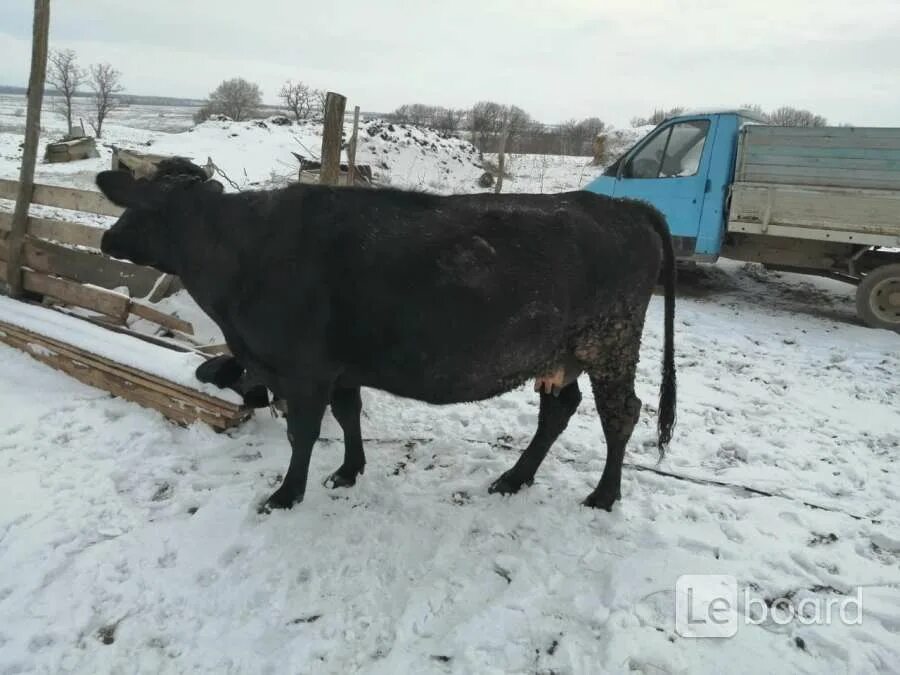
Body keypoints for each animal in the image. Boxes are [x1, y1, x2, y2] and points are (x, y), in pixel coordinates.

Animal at [98, 161, 676, 516]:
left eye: (139, 207)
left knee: (621, 413)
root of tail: (623, 206)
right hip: (562, 352)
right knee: (559, 409)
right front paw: (348, 472)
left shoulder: (303, 369)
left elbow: (303, 433)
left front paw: (286, 495)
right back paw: (513, 478)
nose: (107, 239)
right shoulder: (339, 367)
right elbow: (348, 414)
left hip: (611, 342)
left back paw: (603, 495)